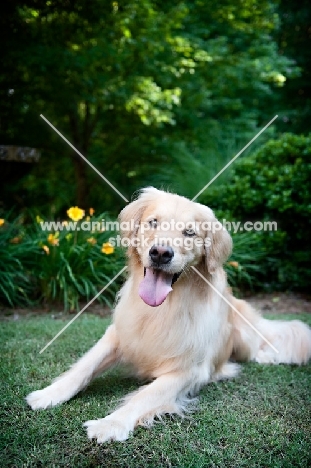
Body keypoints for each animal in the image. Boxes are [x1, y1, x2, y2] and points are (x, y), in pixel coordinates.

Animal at [26, 186, 311, 442]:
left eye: (189, 233)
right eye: (153, 222)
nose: (161, 253)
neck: (162, 308)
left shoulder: (188, 370)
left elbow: (145, 395)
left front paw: (111, 423)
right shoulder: (119, 335)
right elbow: (85, 366)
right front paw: (49, 393)